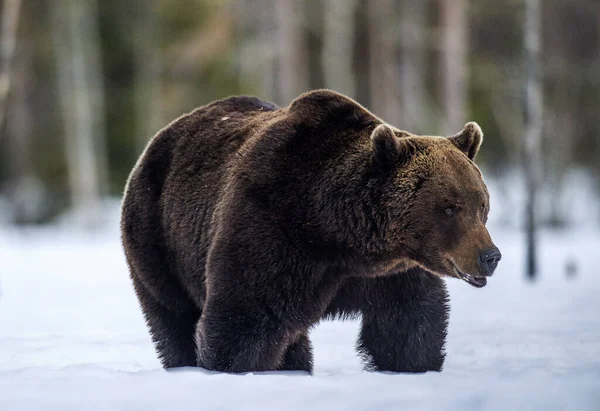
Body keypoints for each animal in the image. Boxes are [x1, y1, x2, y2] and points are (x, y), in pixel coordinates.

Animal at [119, 88, 500, 374]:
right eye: (449, 207)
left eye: (481, 204)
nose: (490, 256)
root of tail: (163, 135)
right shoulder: (270, 227)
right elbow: (243, 319)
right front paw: (234, 367)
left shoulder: (392, 272)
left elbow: (408, 324)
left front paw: (412, 365)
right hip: (158, 237)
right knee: (173, 315)